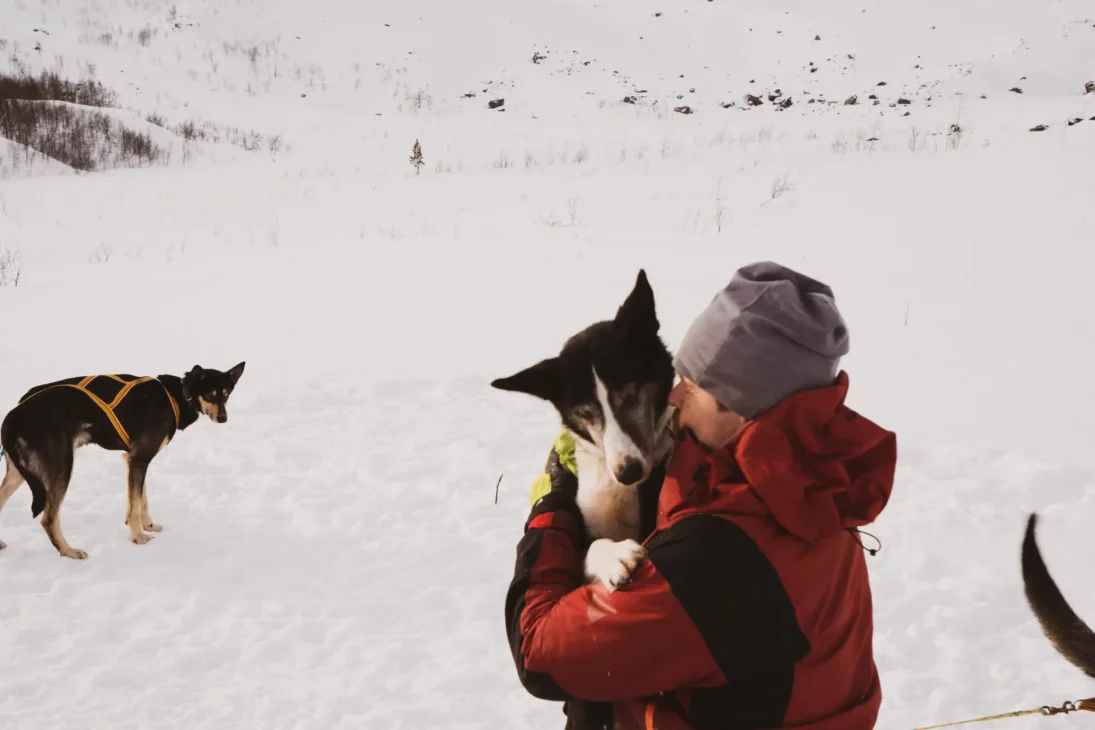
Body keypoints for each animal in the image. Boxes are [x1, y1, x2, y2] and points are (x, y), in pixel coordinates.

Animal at [490, 271, 674, 591]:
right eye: (586, 413)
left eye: (630, 395)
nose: (628, 472)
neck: (621, 490)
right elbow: (586, 548)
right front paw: (613, 556)